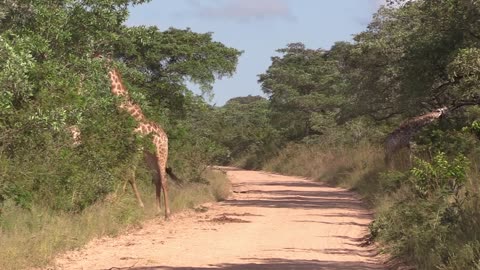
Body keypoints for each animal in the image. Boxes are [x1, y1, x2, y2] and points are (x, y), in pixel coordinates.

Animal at [108, 68, 172, 219]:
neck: (130, 114)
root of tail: (165, 137)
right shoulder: (127, 145)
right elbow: (123, 170)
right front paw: (113, 198)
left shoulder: (137, 146)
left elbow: (129, 173)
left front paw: (131, 203)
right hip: (150, 156)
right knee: (156, 177)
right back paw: (157, 210)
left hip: (161, 152)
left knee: (163, 178)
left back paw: (167, 213)